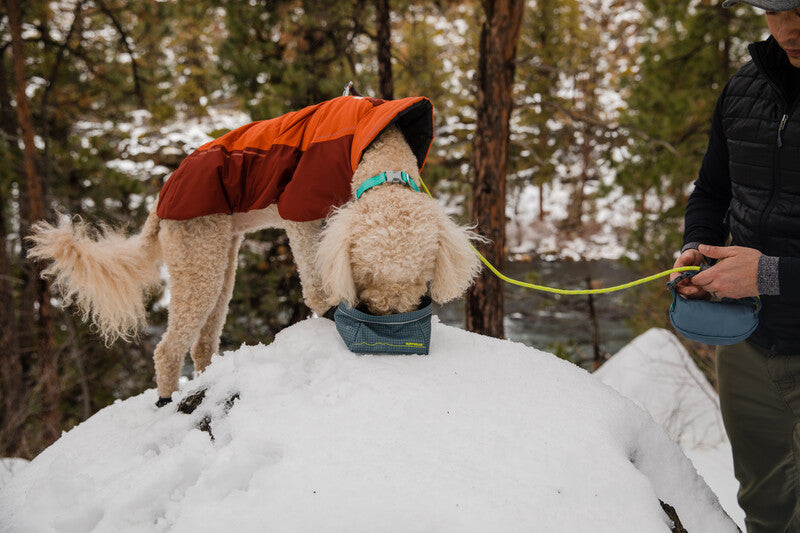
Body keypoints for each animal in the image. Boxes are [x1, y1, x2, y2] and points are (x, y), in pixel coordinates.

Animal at [28, 124, 484, 406]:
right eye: (367, 276)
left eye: (421, 278)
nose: (386, 319)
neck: (378, 152)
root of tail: (161, 199)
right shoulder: (302, 212)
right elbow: (313, 272)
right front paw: (328, 311)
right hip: (198, 257)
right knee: (167, 349)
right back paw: (165, 399)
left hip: (220, 260)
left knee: (203, 342)